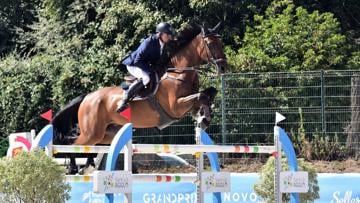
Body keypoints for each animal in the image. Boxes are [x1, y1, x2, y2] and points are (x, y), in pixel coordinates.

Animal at [51, 23, 228, 173]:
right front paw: (204, 118)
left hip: (105, 133)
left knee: (89, 146)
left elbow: (208, 94)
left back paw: (88, 165)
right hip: (91, 133)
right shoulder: (176, 108)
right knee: (73, 144)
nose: (224, 67)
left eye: (221, 43)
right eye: (211, 44)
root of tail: (87, 97)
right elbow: (201, 95)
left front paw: (204, 117)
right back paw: (73, 167)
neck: (178, 73)